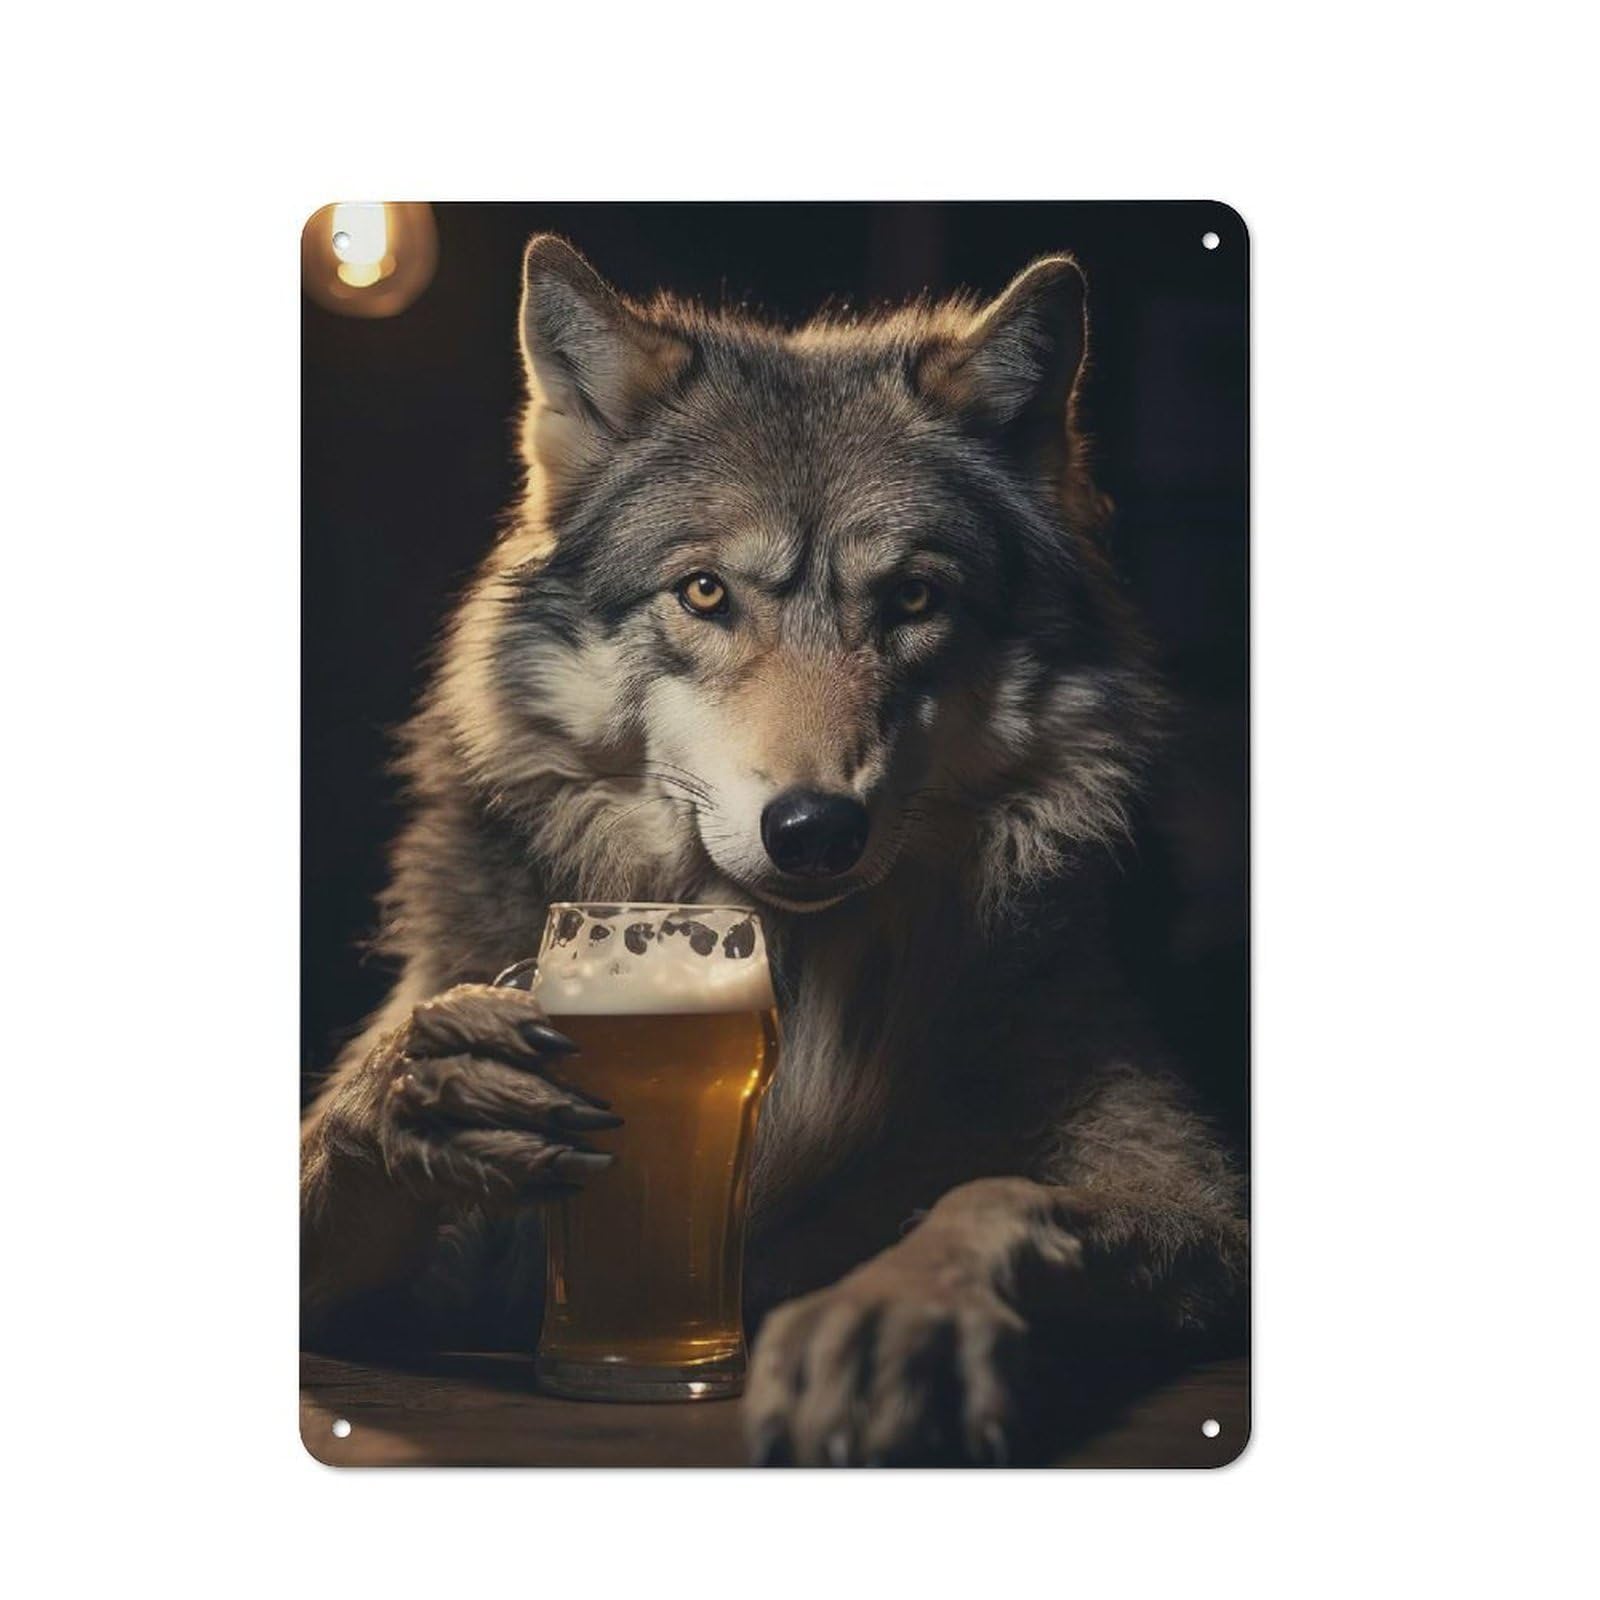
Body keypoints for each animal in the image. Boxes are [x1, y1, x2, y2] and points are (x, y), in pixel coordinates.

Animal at [300, 234, 1247, 1465]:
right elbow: (340, 1153)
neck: (808, 983)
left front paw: (895, 1312)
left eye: (913, 597)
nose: (814, 829)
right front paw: (424, 1091)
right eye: (705, 591)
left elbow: (991, 1196)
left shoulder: (1193, 1196)